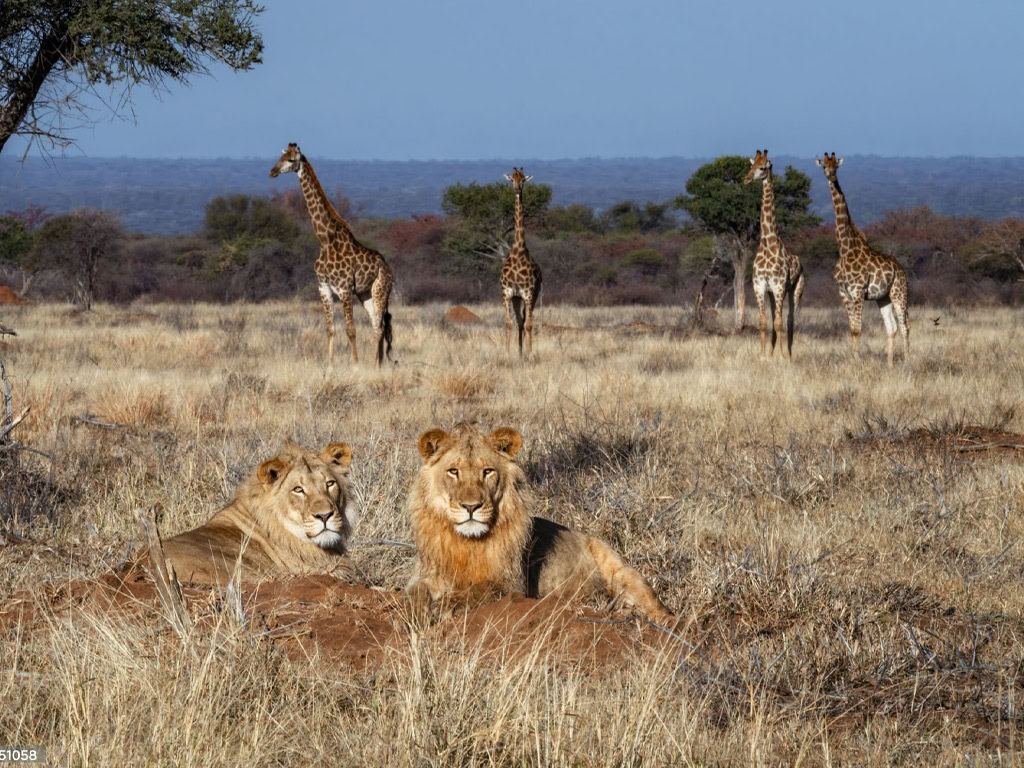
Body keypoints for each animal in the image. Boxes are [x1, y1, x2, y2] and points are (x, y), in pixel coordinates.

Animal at [270, 143, 393, 366]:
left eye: (291, 160)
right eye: (280, 157)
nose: (272, 172)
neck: (325, 241)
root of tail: (388, 268)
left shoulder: (344, 289)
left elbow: (351, 330)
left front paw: (355, 364)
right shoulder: (323, 288)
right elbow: (330, 329)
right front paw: (330, 365)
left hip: (381, 290)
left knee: (379, 328)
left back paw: (373, 365)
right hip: (365, 294)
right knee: (376, 325)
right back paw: (377, 364)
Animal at [405, 424, 674, 624]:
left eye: (488, 471)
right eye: (453, 471)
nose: (471, 507)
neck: (467, 542)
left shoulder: (512, 584)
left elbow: (480, 590)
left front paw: (445, 606)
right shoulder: (427, 574)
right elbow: (413, 594)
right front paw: (411, 613)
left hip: (623, 571)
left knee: (658, 610)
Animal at [743, 149, 805, 360]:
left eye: (762, 168)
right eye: (751, 166)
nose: (746, 179)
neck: (768, 243)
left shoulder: (778, 286)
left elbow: (779, 323)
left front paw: (783, 357)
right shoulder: (760, 285)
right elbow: (763, 321)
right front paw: (763, 355)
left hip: (795, 290)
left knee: (789, 319)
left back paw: (790, 354)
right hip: (772, 293)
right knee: (775, 317)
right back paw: (772, 353)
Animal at [815, 153, 910, 367]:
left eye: (836, 166)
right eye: (824, 166)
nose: (831, 176)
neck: (844, 248)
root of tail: (901, 268)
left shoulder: (857, 291)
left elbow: (858, 329)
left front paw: (857, 362)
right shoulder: (843, 293)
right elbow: (852, 329)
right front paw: (852, 360)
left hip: (899, 292)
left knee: (905, 325)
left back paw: (909, 361)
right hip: (883, 297)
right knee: (892, 327)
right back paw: (890, 364)